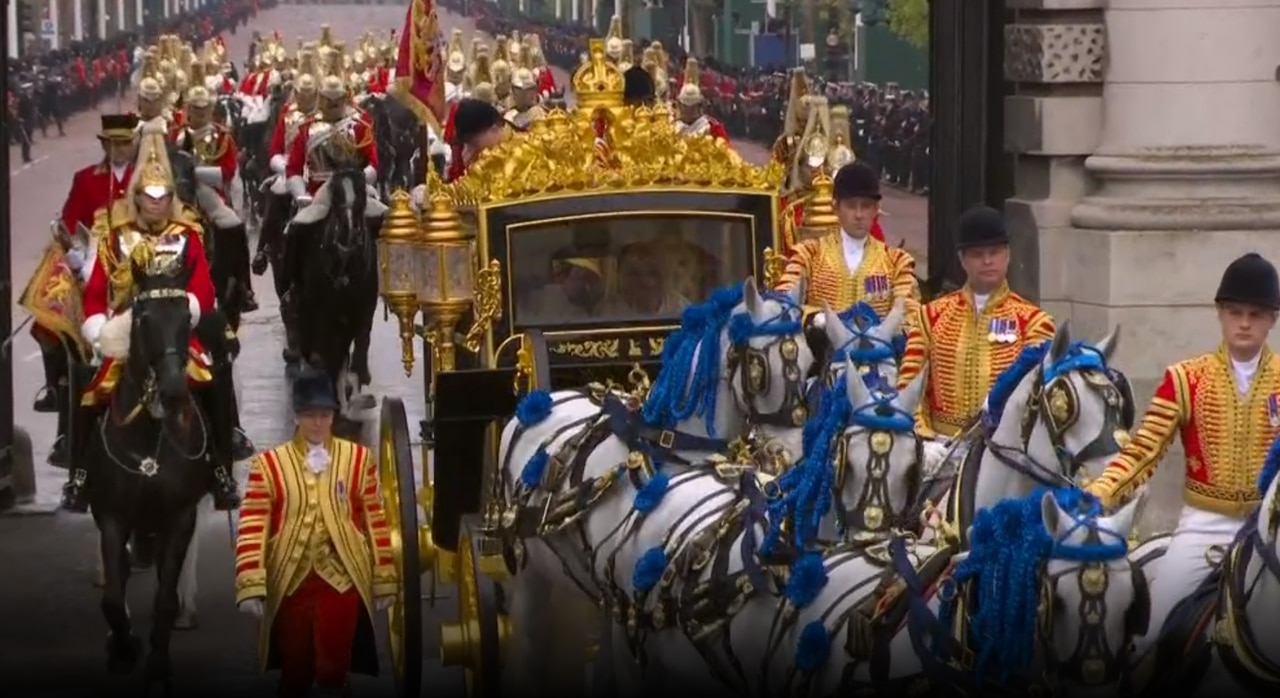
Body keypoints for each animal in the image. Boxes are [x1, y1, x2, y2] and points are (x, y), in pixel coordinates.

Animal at [88, 262, 212, 691]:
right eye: (142, 318)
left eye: (186, 316)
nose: (173, 388)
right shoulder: (112, 517)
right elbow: (112, 596)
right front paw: (124, 650)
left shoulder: (180, 517)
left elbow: (164, 596)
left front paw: (158, 662)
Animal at [496, 276, 808, 691]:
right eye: (757, 366)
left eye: (809, 358)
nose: (789, 449)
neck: (670, 448)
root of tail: (537, 401)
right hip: (532, 578)